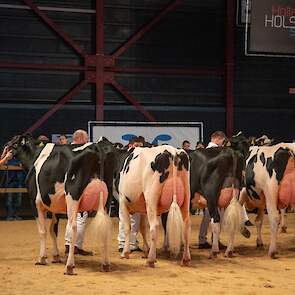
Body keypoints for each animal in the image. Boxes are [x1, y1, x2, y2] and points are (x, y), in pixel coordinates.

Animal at [6, 135, 115, 274]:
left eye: (15, 142)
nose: (6, 146)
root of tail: (96, 146)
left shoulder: (35, 202)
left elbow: (43, 230)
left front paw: (42, 258)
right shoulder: (55, 206)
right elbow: (53, 230)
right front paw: (56, 256)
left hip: (72, 196)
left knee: (73, 227)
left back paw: (69, 266)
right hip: (107, 199)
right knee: (106, 227)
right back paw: (106, 264)